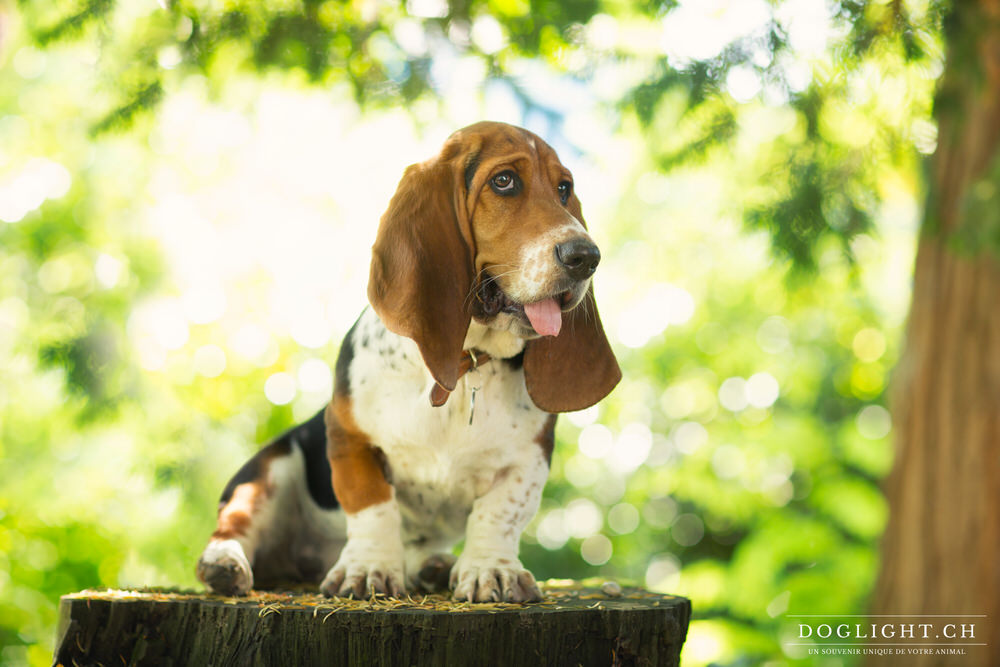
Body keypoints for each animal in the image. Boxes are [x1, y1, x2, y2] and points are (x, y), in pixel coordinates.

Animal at [194, 120, 616, 604]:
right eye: (504, 181)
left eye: (564, 188)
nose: (586, 257)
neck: (467, 365)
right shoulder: (351, 440)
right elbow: (373, 507)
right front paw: (368, 570)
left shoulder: (529, 457)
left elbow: (499, 513)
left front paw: (491, 570)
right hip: (268, 470)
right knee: (236, 524)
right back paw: (224, 563)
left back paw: (431, 567)